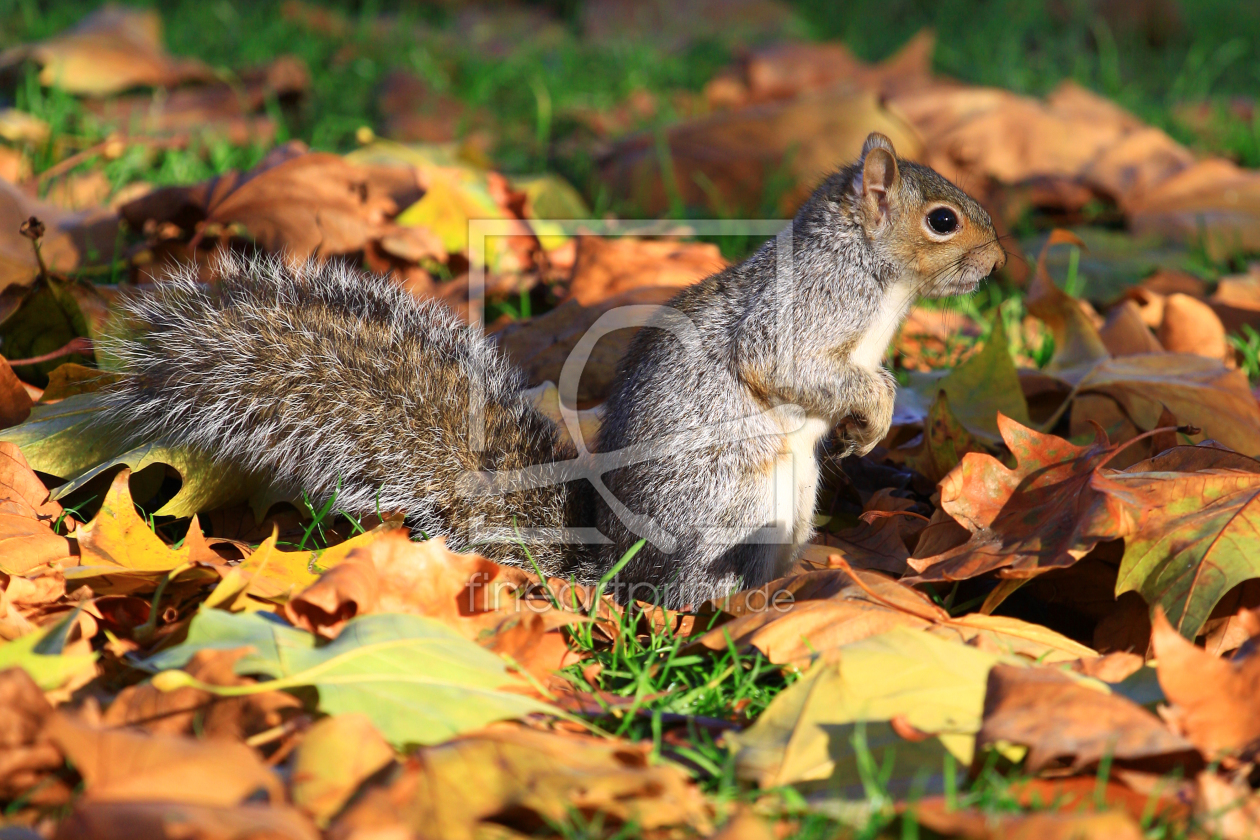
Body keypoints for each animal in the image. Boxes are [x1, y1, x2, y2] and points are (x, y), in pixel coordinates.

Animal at [88, 132, 1002, 604]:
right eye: (943, 219)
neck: (876, 277)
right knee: (691, 596)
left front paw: (869, 418)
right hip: (736, 508)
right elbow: (790, 366)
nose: (997, 264)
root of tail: (614, 570)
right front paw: (869, 406)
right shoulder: (806, 309)